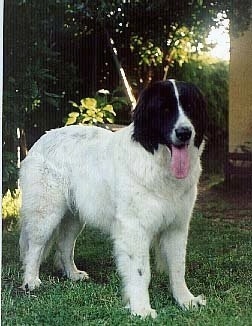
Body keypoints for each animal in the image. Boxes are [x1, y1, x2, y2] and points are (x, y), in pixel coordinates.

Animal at [19, 79, 208, 318]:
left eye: (190, 108)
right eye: (165, 110)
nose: (184, 133)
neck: (157, 162)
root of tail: (41, 139)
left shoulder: (177, 226)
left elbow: (177, 267)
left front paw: (185, 300)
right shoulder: (134, 228)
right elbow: (140, 270)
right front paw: (141, 309)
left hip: (74, 216)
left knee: (64, 245)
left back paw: (73, 274)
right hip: (46, 212)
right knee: (34, 246)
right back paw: (31, 281)